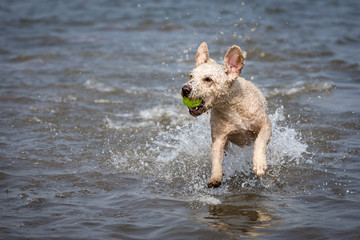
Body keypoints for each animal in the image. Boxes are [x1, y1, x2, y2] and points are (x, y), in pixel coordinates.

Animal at [181, 42, 272, 188]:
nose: (185, 89)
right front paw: (215, 178)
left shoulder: (265, 125)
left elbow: (260, 141)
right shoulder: (219, 138)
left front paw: (259, 164)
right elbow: (216, 158)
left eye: (208, 79)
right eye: (191, 76)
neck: (232, 107)